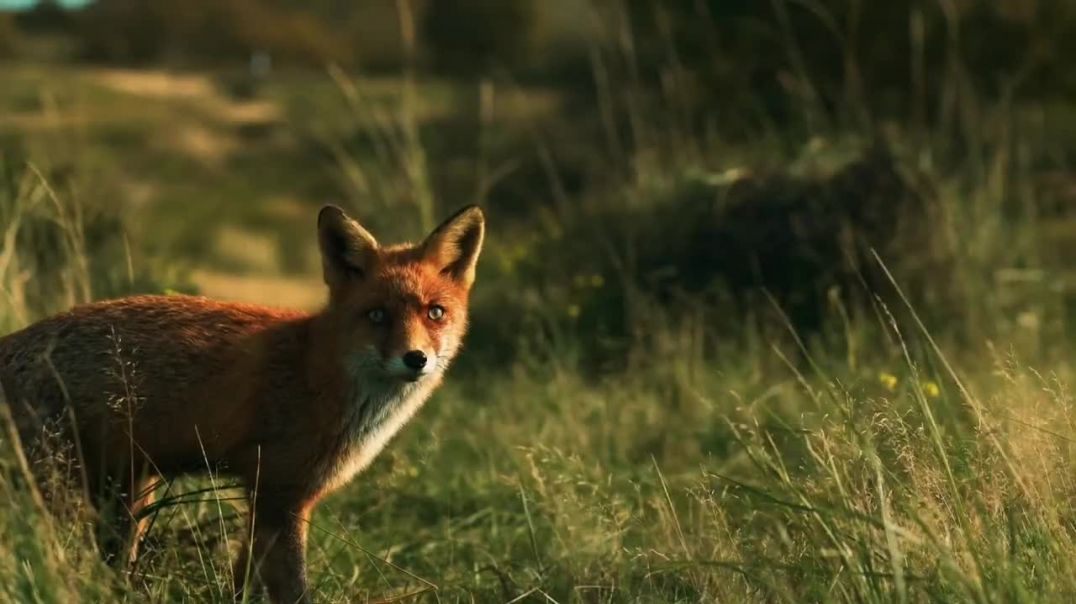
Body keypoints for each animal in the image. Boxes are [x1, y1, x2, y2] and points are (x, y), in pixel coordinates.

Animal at [0, 204, 485, 602]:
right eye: (378, 315)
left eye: (435, 313)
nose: (416, 358)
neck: (313, 369)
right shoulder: (278, 493)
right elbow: (293, 590)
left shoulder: (273, 498)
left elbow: (245, 582)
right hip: (65, 488)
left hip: (129, 494)